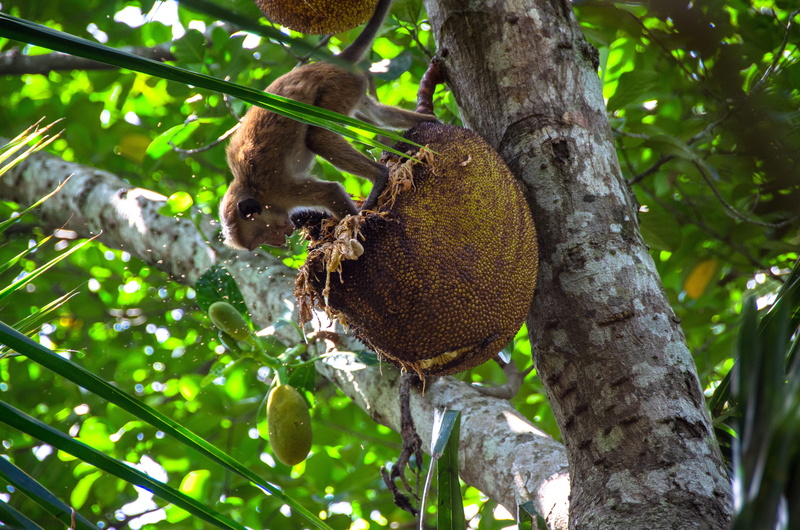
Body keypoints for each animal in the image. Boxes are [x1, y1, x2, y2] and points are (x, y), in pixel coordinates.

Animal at [220, 0, 439, 250]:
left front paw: (351, 228)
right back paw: (428, 121)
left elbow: (330, 191)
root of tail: (323, 63)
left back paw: (379, 175)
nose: (280, 242)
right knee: (375, 115)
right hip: (351, 85)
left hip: (335, 86)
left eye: (263, 235)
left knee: (318, 137)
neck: (249, 188)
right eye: (261, 242)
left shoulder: (280, 191)